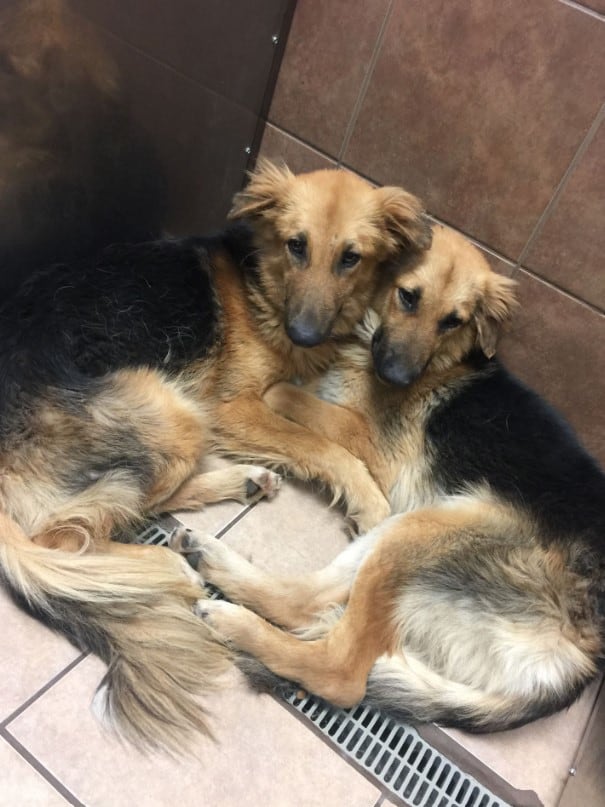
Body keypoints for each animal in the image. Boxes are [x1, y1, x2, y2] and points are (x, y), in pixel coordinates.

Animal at [0, 159, 430, 752]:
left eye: (351, 257)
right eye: (297, 245)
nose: (305, 333)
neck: (262, 283)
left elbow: (337, 430)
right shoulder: (233, 407)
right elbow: (324, 447)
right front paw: (368, 501)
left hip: (175, 420)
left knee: (132, 508)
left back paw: (241, 485)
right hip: (172, 410)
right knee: (68, 538)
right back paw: (170, 564)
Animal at [179, 224, 604, 736]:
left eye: (453, 321)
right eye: (408, 297)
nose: (399, 377)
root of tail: (584, 652)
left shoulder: (375, 446)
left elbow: (299, 400)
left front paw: (285, 387)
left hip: (428, 528)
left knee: (341, 671)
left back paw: (233, 622)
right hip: (406, 531)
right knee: (306, 602)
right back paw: (213, 562)